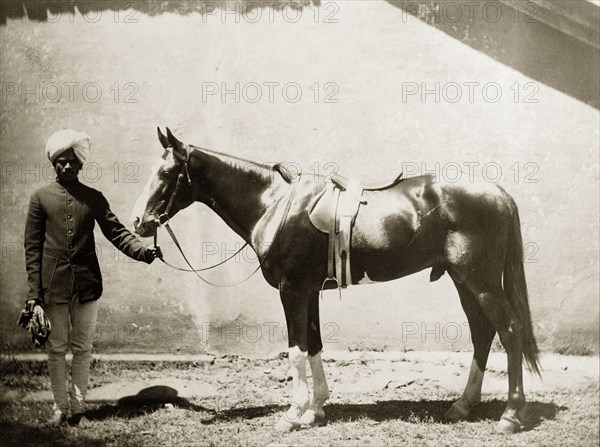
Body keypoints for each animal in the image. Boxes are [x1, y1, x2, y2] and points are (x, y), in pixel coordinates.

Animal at [132, 127, 544, 434]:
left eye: (166, 175)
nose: (138, 222)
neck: (275, 204)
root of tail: (497, 193)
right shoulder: (310, 291)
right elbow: (314, 345)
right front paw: (315, 409)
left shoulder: (292, 291)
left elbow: (295, 349)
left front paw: (293, 414)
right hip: (463, 281)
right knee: (482, 334)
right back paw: (462, 406)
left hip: (482, 282)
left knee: (509, 330)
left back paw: (510, 416)